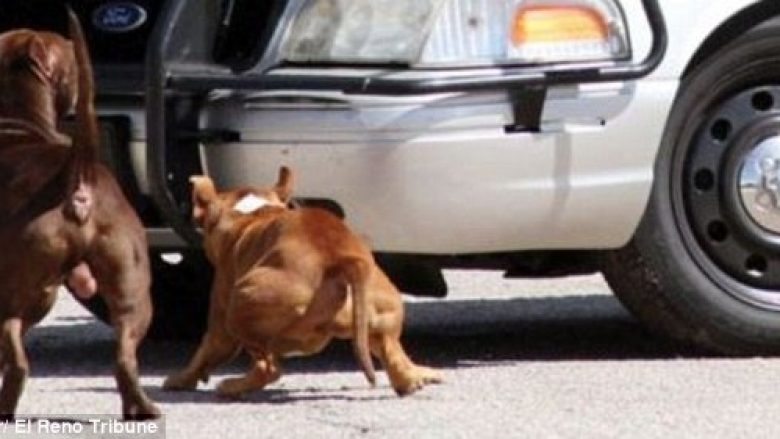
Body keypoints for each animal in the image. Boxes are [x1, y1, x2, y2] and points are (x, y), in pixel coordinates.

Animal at [0, 12, 159, 422]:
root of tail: (78, 173)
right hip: (132, 287)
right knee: (124, 356)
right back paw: (141, 407)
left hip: (22, 288)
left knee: (14, 351)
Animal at [163, 168, 444, 398]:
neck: (251, 213)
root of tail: (343, 259)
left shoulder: (220, 323)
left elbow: (204, 350)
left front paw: (181, 379)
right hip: (382, 316)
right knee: (393, 353)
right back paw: (415, 377)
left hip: (240, 305)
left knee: (269, 367)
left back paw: (234, 386)